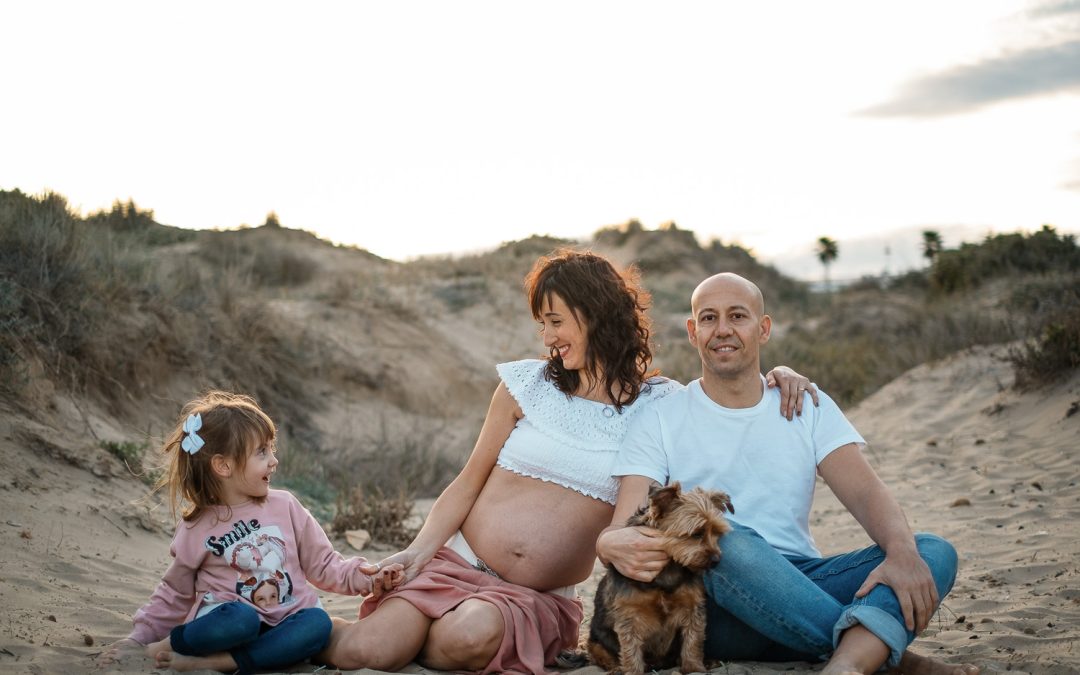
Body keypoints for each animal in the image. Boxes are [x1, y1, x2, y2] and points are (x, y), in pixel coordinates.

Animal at [591, 479, 734, 673]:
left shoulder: (693, 606)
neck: (668, 568)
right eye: (696, 533)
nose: (716, 560)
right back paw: (616, 668)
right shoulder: (629, 614)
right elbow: (630, 650)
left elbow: (693, 639)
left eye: (717, 533)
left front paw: (694, 667)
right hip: (597, 640)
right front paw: (632, 671)